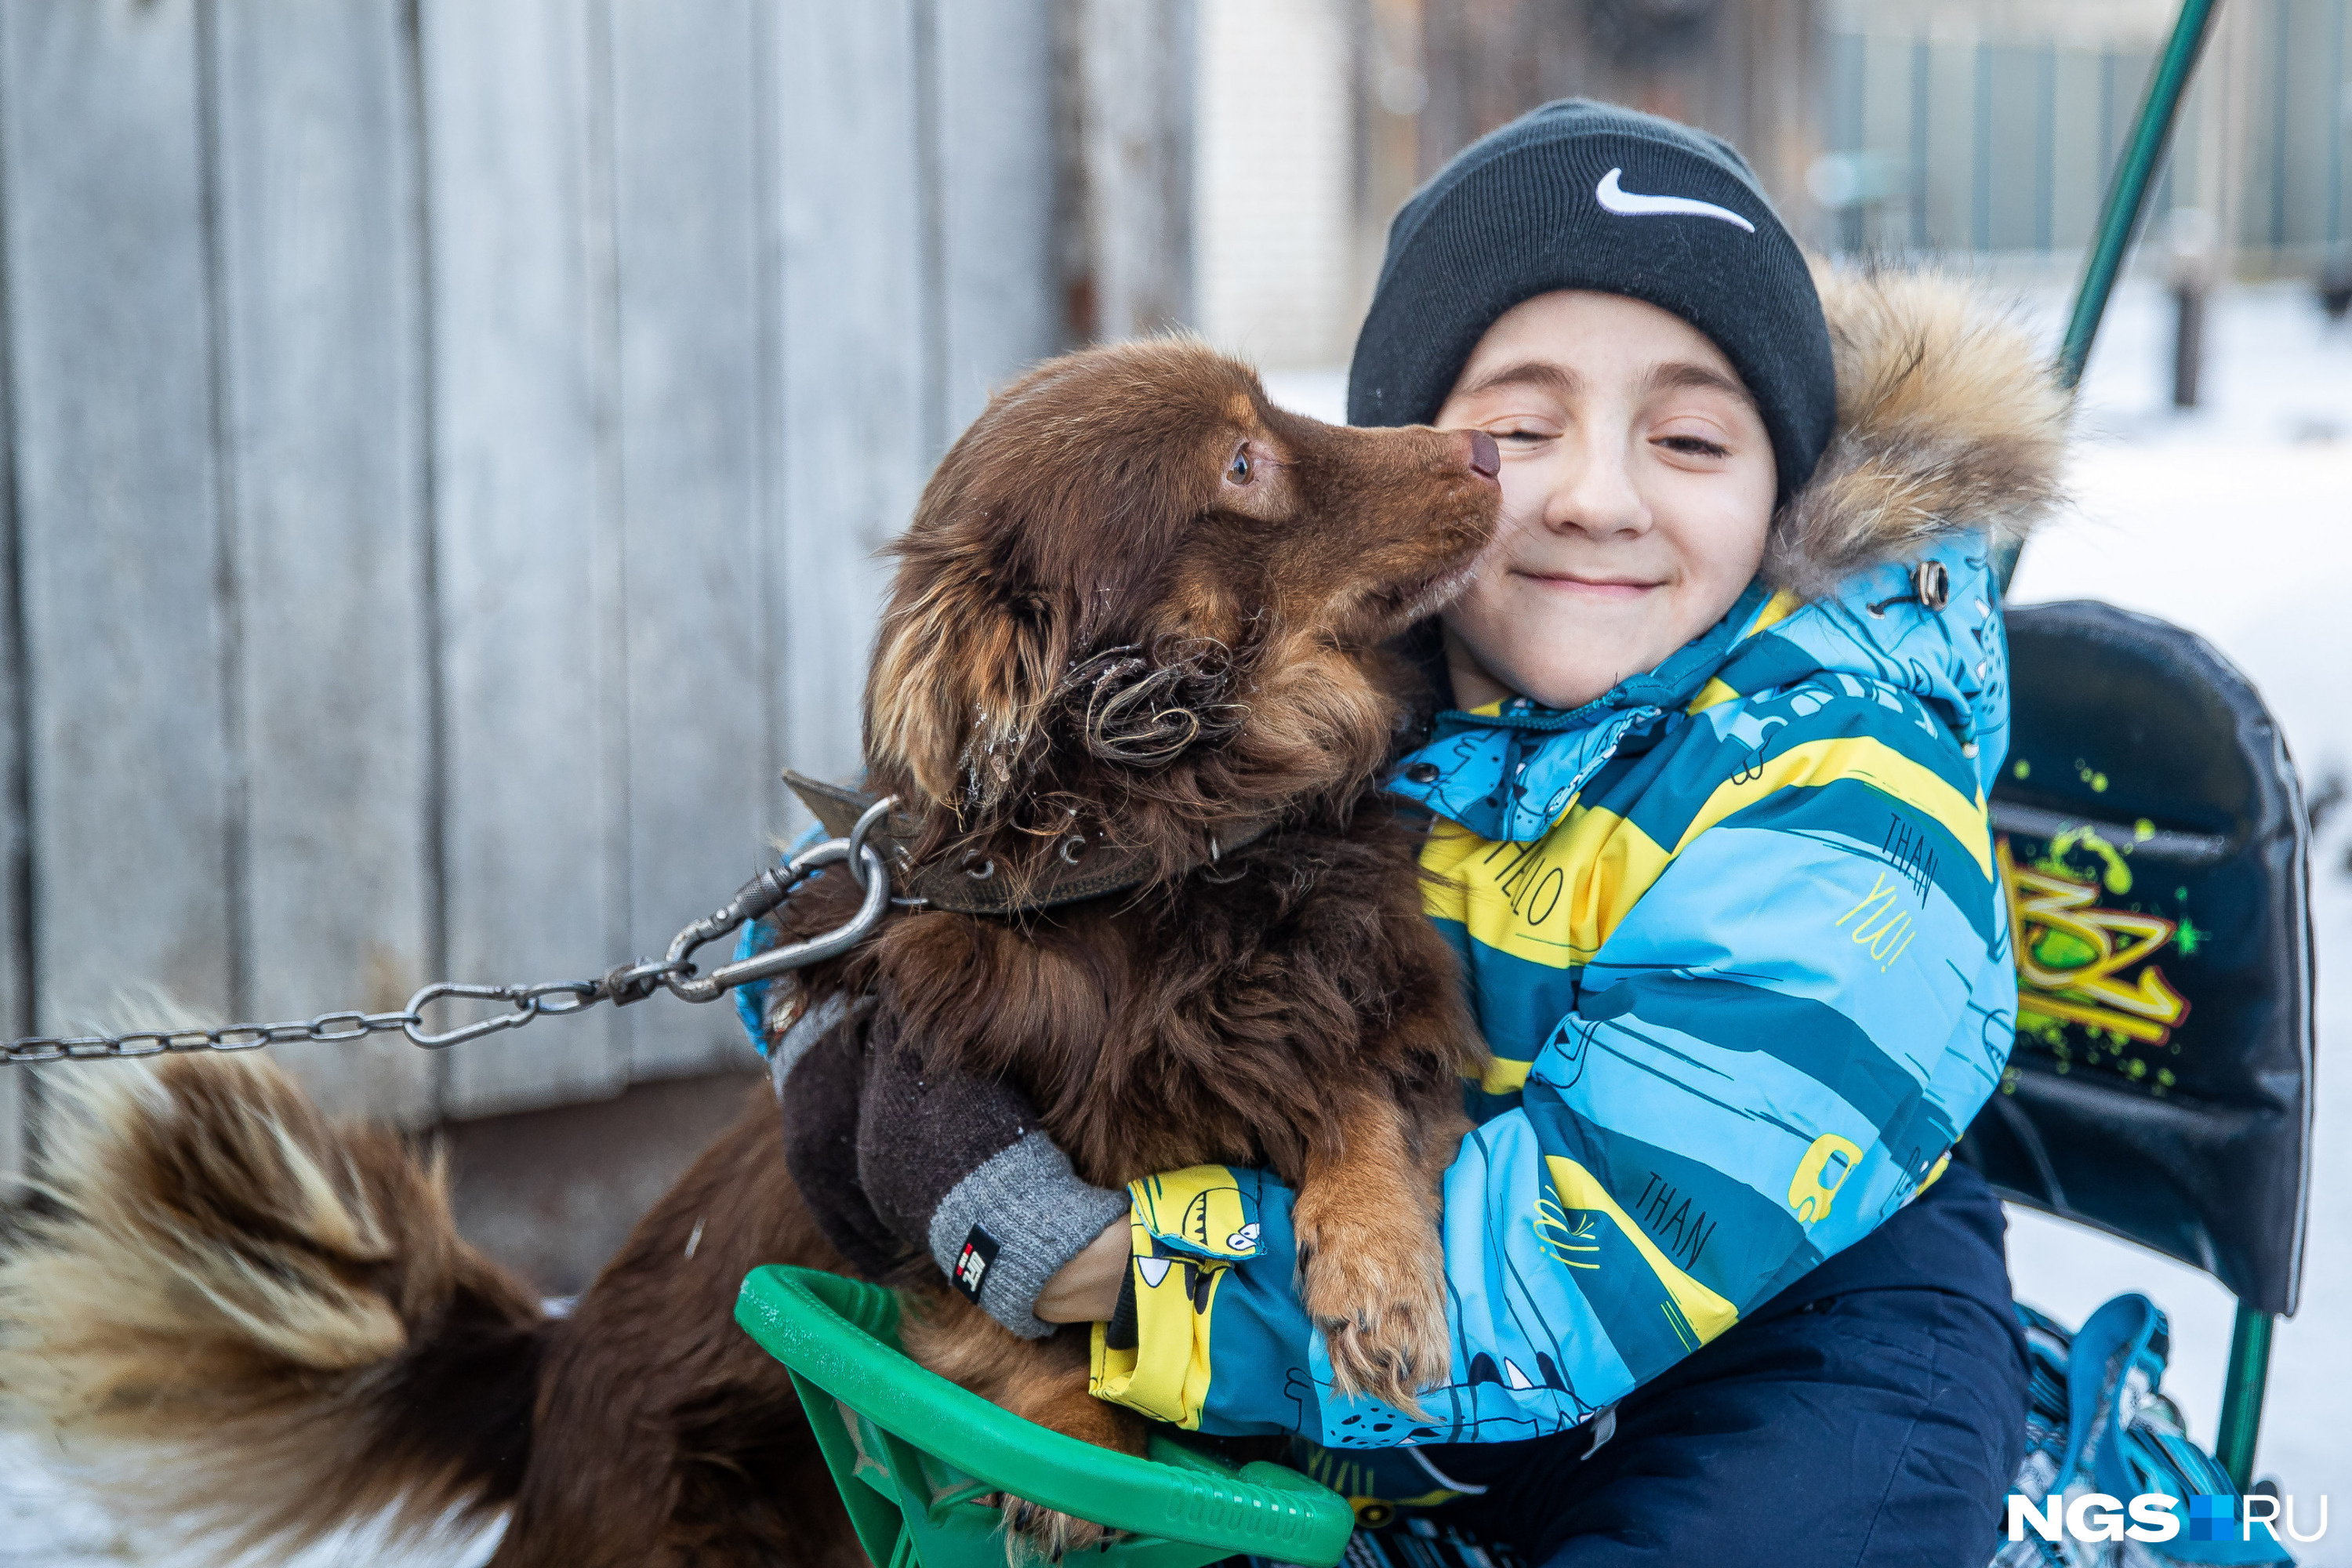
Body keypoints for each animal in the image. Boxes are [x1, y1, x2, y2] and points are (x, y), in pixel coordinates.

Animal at [0, 338, 1496, 1561]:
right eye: (1242, 462)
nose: (1488, 448)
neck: (1166, 865)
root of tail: (543, 1393)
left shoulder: (1354, 1006)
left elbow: (1361, 1104)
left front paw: (1383, 1282)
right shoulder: (906, 1157)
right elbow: (1016, 1294)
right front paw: (1077, 1438)